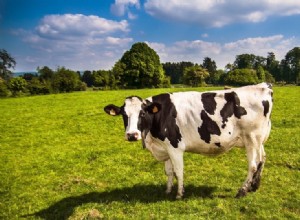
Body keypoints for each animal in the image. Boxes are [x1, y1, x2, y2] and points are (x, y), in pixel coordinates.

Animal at [104, 83, 274, 199]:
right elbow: (169, 171)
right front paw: (167, 190)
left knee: (253, 165)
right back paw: (254, 186)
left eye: (142, 113)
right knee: (262, 159)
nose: (132, 135)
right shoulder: (165, 147)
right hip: (259, 139)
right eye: (124, 114)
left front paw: (179, 194)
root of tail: (263, 86)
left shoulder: (175, 146)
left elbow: (178, 171)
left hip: (251, 138)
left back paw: (242, 190)